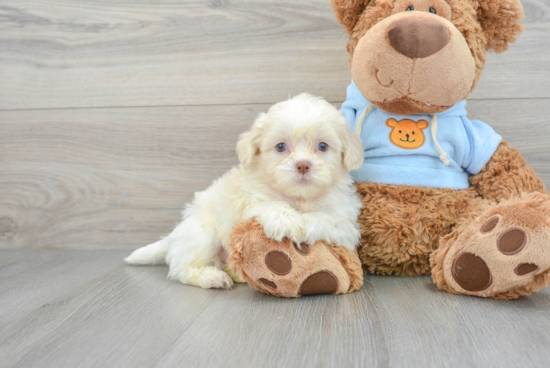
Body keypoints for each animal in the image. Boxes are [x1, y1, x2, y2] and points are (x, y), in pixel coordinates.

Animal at [126, 93, 366, 288]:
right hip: (202, 232)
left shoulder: (345, 225)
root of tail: (175, 235)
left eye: (323, 146)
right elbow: (270, 205)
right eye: (281, 147)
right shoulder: (251, 201)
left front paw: (304, 224)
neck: (299, 198)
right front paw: (286, 220)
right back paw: (212, 277)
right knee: (181, 268)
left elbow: (326, 219)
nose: (303, 165)